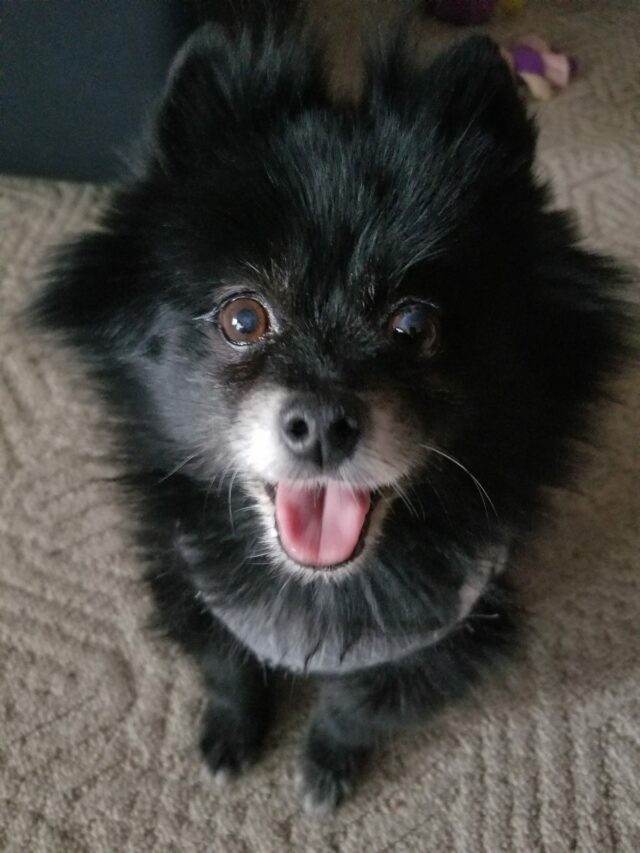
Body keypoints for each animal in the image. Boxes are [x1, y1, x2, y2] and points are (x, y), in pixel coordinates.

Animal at [32, 13, 628, 812]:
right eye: (244, 317)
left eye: (414, 324)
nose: (321, 422)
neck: (317, 593)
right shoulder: (193, 589)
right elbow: (230, 670)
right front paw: (231, 732)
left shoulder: (445, 638)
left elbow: (358, 706)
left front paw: (326, 763)